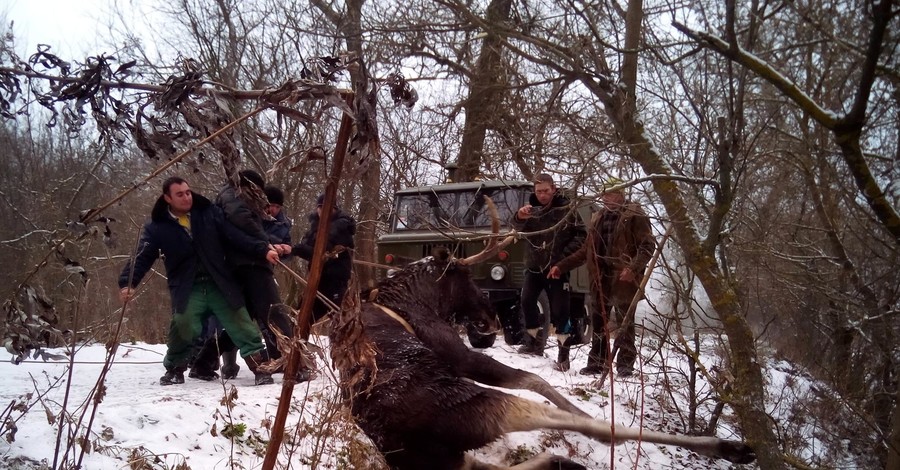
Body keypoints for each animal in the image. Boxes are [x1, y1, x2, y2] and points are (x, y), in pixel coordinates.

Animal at [326, 197, 756, 470]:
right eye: (466, 277)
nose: (490, 317)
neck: (417, 299)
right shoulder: (458, 355)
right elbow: (536, 380)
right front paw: (580, 408)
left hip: (447, 462)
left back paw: (561, 461)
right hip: (479, 408)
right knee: (575, 423)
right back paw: (727, 446)